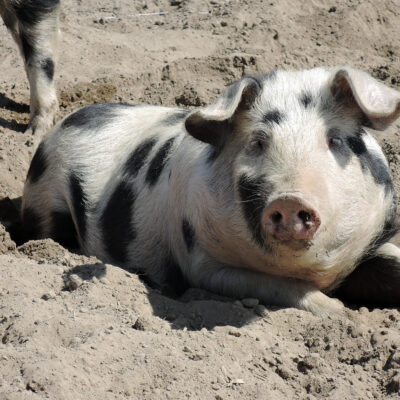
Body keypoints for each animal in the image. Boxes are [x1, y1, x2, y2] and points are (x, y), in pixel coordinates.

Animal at [20, 65, 400, 316]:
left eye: (335, 140)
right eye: (257, 142)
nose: (290, 200)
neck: (311, 268)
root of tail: (71, 119)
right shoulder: (201, 264)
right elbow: (277, 287)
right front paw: (342, 313)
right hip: (44, 201)